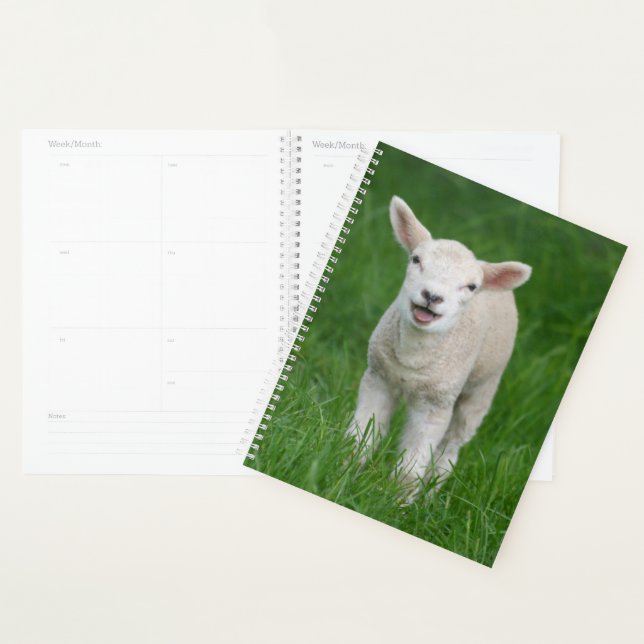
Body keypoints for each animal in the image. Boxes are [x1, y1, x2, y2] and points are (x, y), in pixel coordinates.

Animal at [348, 196, 532, 498]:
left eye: (471, 286)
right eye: (416, 259)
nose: (432, 296)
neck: (412, 359)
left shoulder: (436, 405)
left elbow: (412, 467)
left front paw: (396, 501)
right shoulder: (378, 378)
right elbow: (362, 436)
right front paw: (345, 469)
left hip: (481, 389)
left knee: (452, 447)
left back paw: (431, 494)